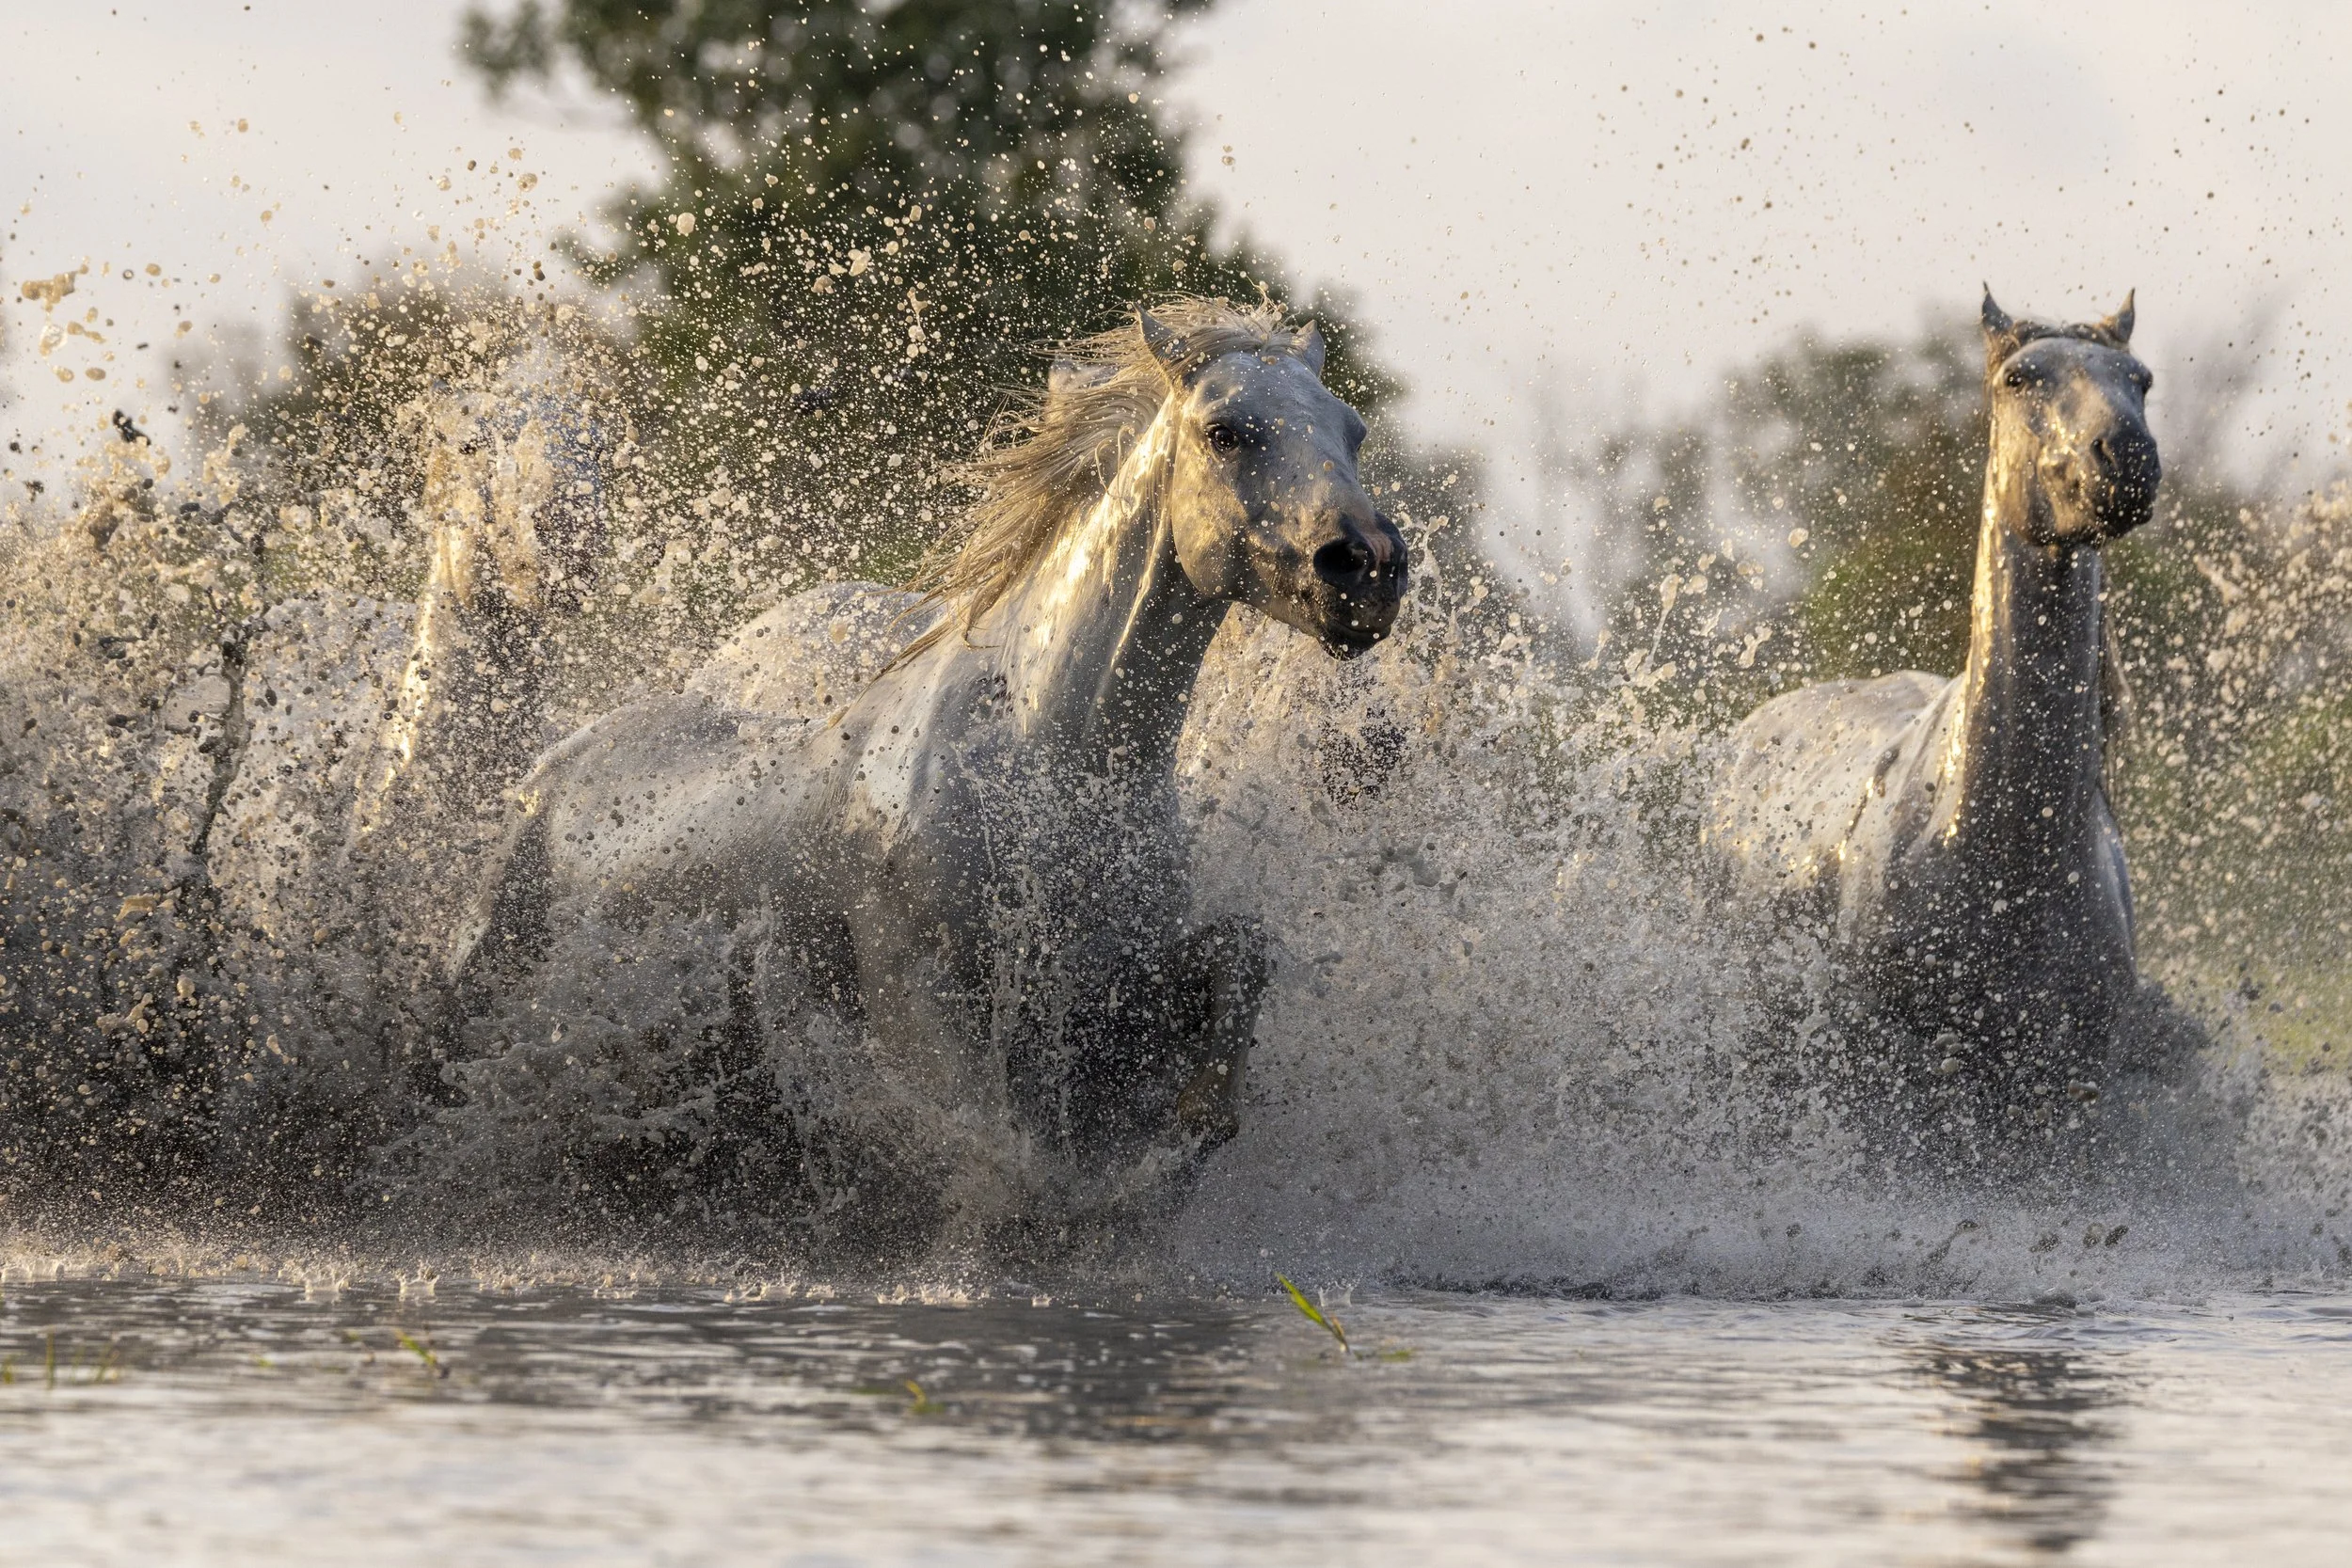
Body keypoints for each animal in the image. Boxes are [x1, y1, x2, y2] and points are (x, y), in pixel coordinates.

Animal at [448, 297, 1407, 1248]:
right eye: (1224, 430)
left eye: (1351, 431)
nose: (1367, 566)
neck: (1051, 758)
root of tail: (547, 771)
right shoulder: (923, 997)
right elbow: (996, 1148)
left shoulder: (1103, 990)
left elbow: (1241, 953)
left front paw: (1186, 1133)